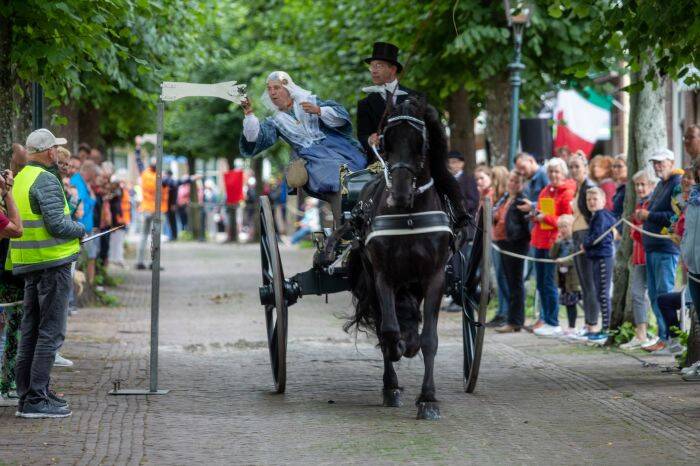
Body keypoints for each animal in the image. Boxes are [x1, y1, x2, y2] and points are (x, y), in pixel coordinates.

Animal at [344, 97, 454, 418]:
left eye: (421, 142)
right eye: (388, 140)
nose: (400, 195)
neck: (409, 215)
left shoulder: (434, 278)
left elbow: (429, 340)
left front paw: (428, 399)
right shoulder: (383, 276)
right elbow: (389, 331)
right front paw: (398, 352)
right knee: (386, 326)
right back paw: (390, 385)